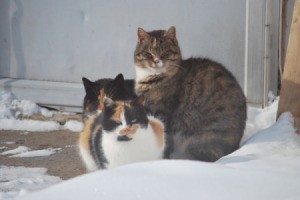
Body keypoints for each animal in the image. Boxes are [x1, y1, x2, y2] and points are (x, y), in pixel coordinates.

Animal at [134, 25, 246, 162]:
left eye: (165, 53)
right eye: (148, 53)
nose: (156, 61)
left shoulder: (162, 113)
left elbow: (165, 140)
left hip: (201, 136)